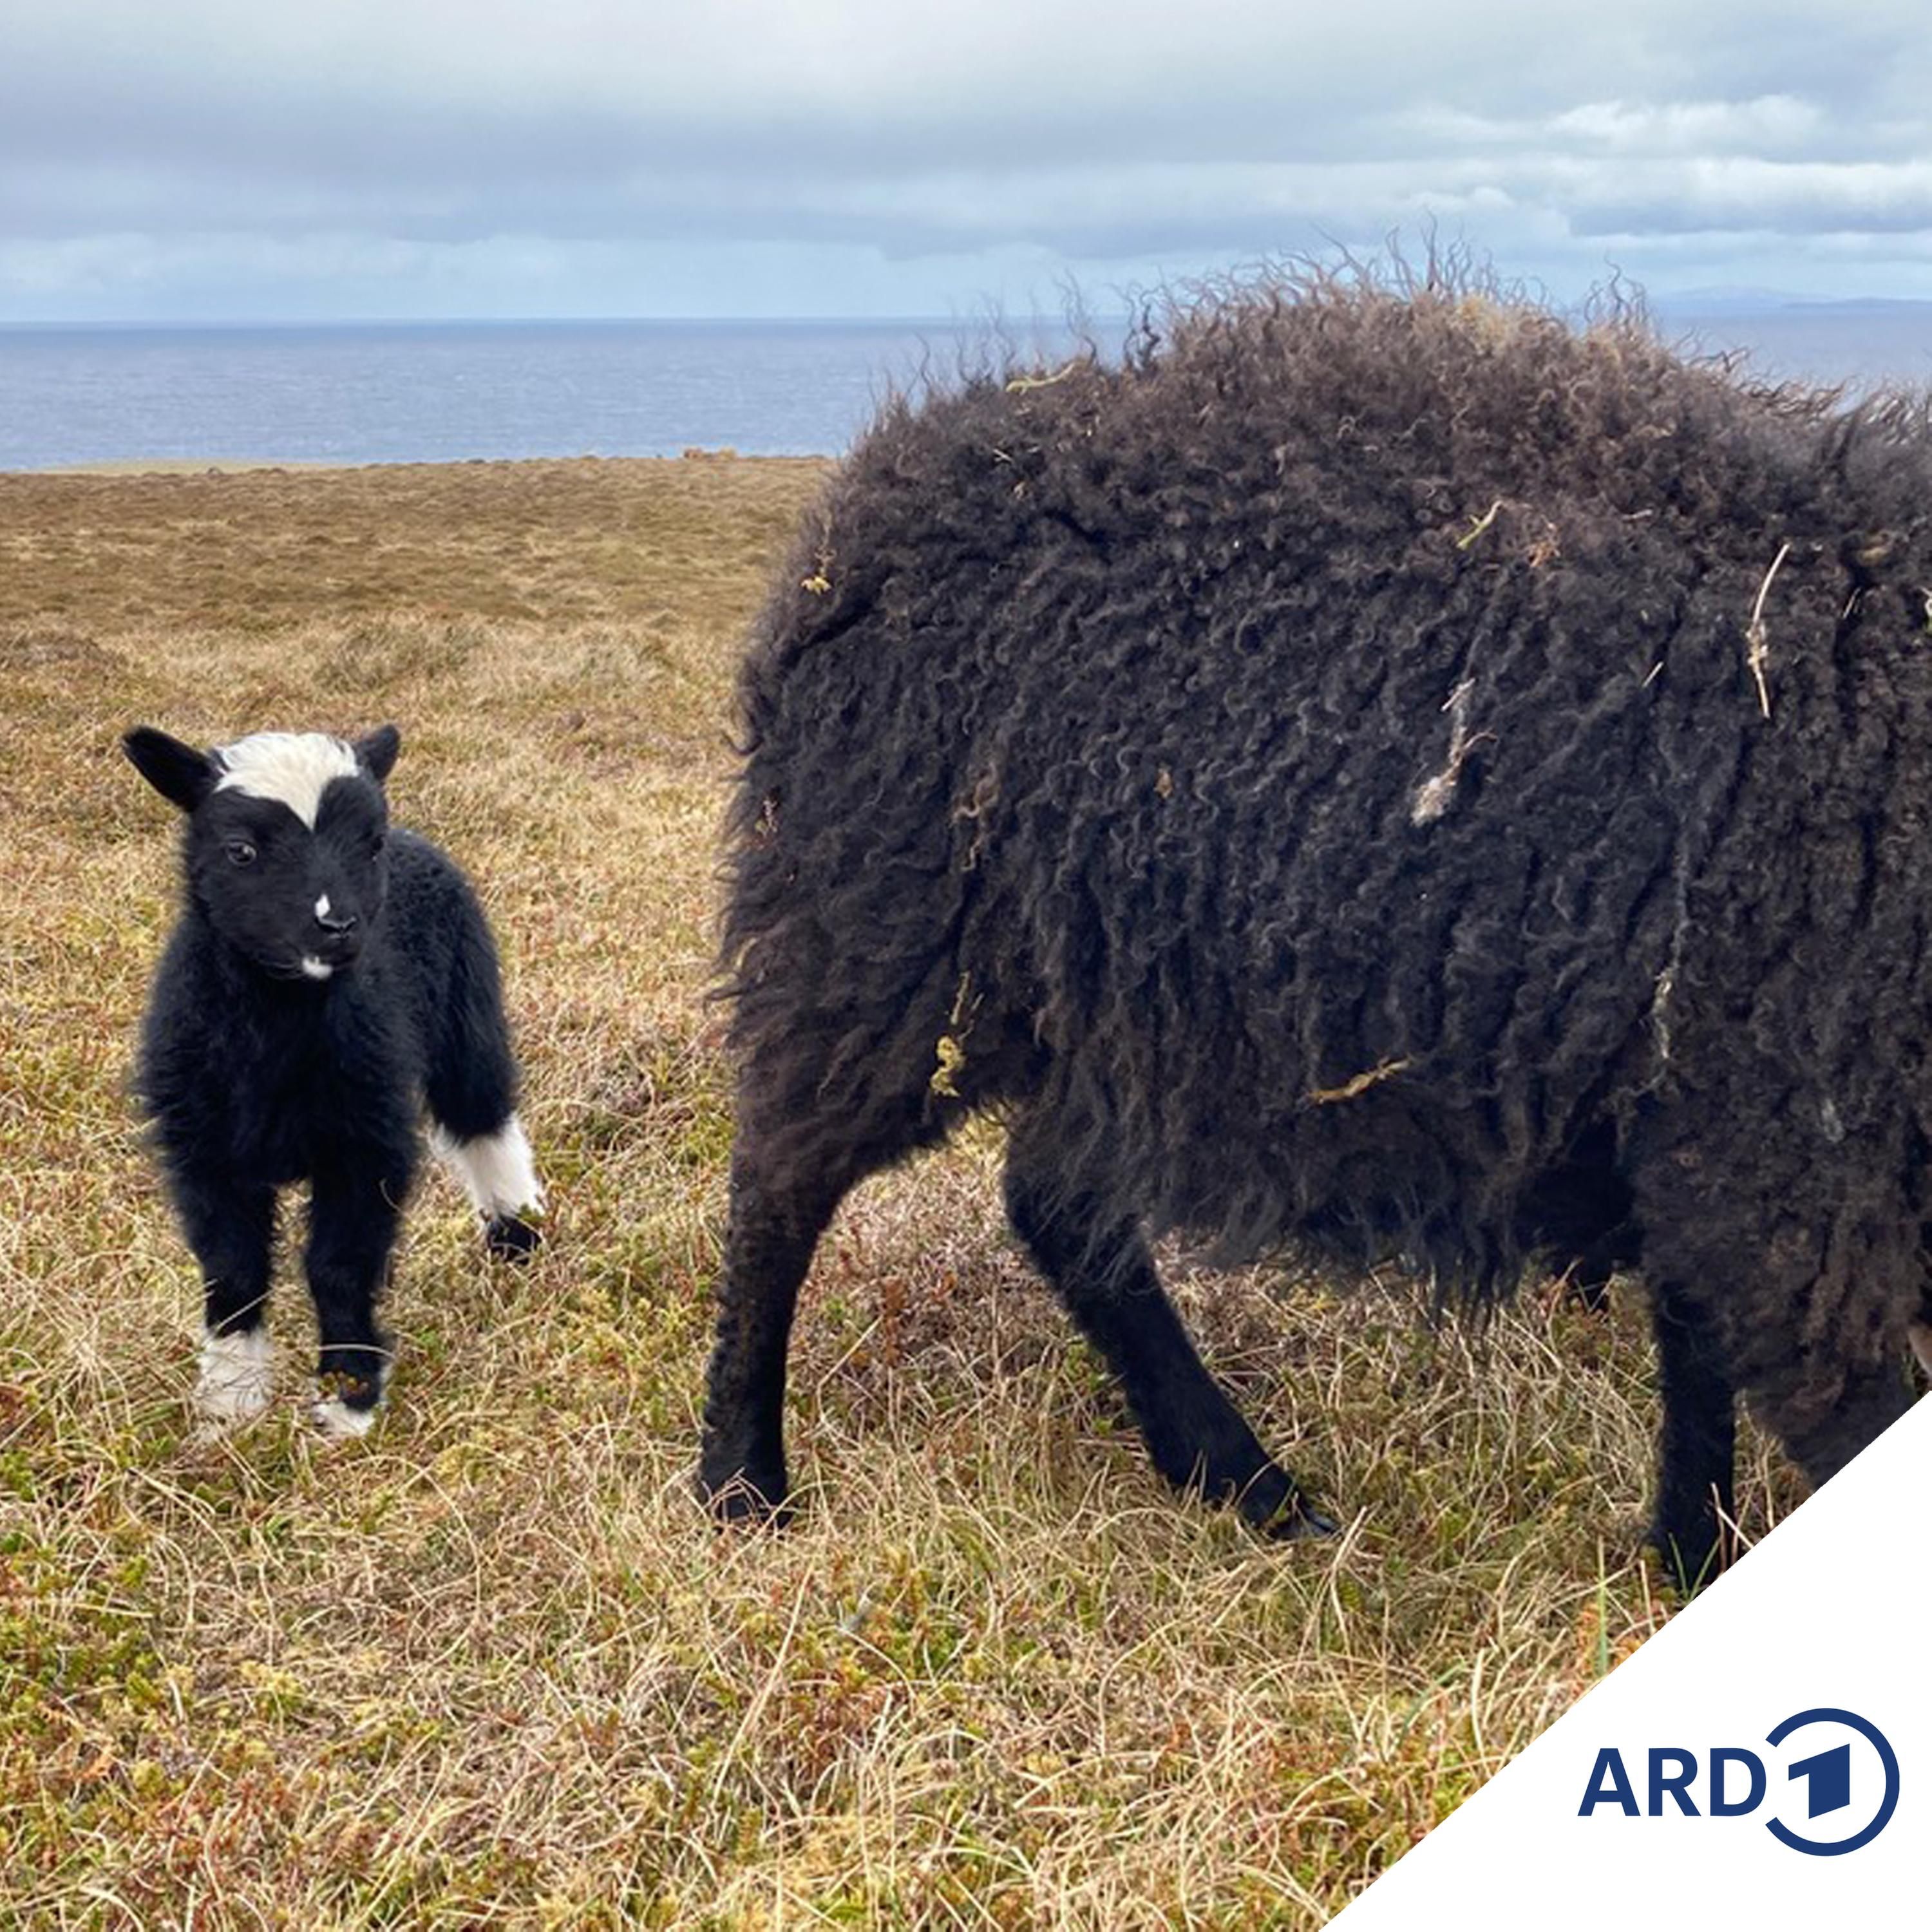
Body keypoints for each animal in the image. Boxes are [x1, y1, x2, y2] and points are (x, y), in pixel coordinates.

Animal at [124, 724, 542, 1436]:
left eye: (367, 844)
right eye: (241, 851)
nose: (338, 928)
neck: (276, 1031)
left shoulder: (365, 1143)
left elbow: (339, 1269)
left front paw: (348, 1400)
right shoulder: (203, 1150)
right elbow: (233, 1273)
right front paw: (230, 1403)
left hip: (468, 1006)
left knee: (482, 1114)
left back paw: (517, 1231)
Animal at [699, 267, 1932, 1586]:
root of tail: (858, 508)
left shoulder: (1714, 1124)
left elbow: (1698, 1344)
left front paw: (1692, 1554)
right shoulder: (1792, 1175)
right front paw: (1703, 1555)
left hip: (1118, 997)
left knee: (1056, 1204)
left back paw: (1241, 1481)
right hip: (887, 933)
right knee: (782, 1181)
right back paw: (742, 1483)